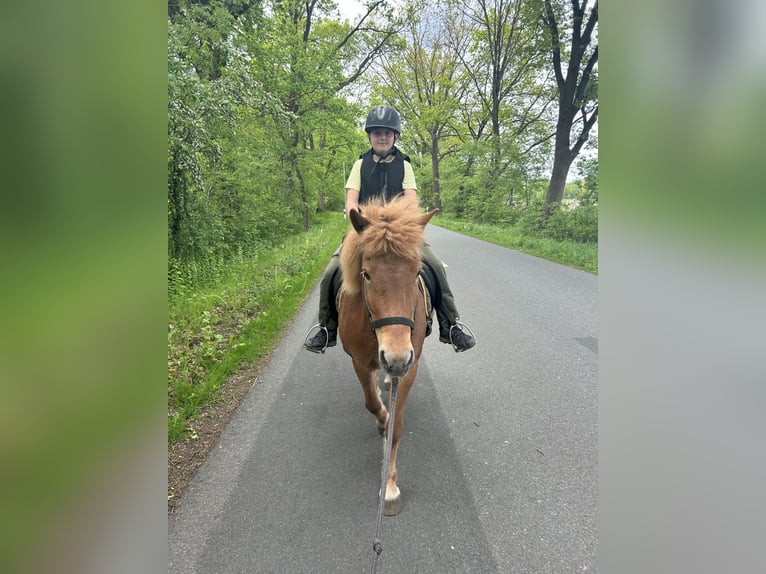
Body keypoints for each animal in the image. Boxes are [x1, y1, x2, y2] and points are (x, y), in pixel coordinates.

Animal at [337, 195, 438, 516]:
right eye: (366, 274)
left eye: (417, 272)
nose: (396, 356)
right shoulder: (359, 362)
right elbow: (372, 404)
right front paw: (382, 418)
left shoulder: (409, 368)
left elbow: (396, 428)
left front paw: (390, 487)